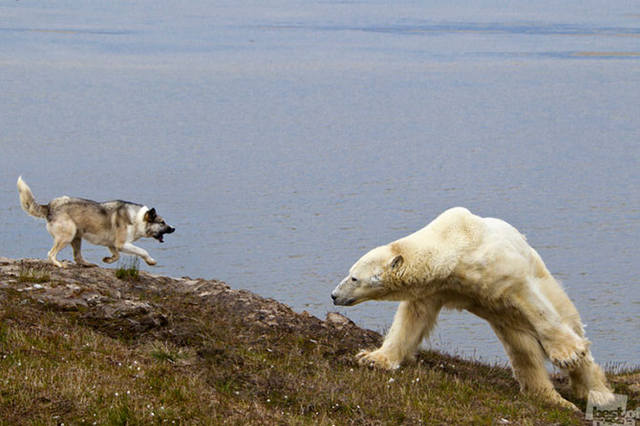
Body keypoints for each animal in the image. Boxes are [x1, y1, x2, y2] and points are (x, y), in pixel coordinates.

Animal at [16, 176, 175, 266]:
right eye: (162, 222)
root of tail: (50, 206)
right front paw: (151, 261)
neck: (137, 219)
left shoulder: (112, 244)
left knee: (77, 257)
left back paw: (88, 264)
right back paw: (59, 265)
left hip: (76, 237)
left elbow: (116, 256)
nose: (173, 228)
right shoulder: (122, 244)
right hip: (67, 235)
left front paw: (108, 260)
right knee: (51, 253)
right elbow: (142, 251)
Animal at [332, 206, 612, 410]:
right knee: (524, 352)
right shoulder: (439, 288)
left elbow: (529, 300)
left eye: (354, 278)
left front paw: (567, 353)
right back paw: (548, 397)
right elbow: (412, 320)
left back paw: (599, 394)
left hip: (552, 288)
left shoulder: (499, 269)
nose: (334, 295)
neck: (456, 243)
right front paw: (373, 358)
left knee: (569, 329)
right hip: (509, 324)